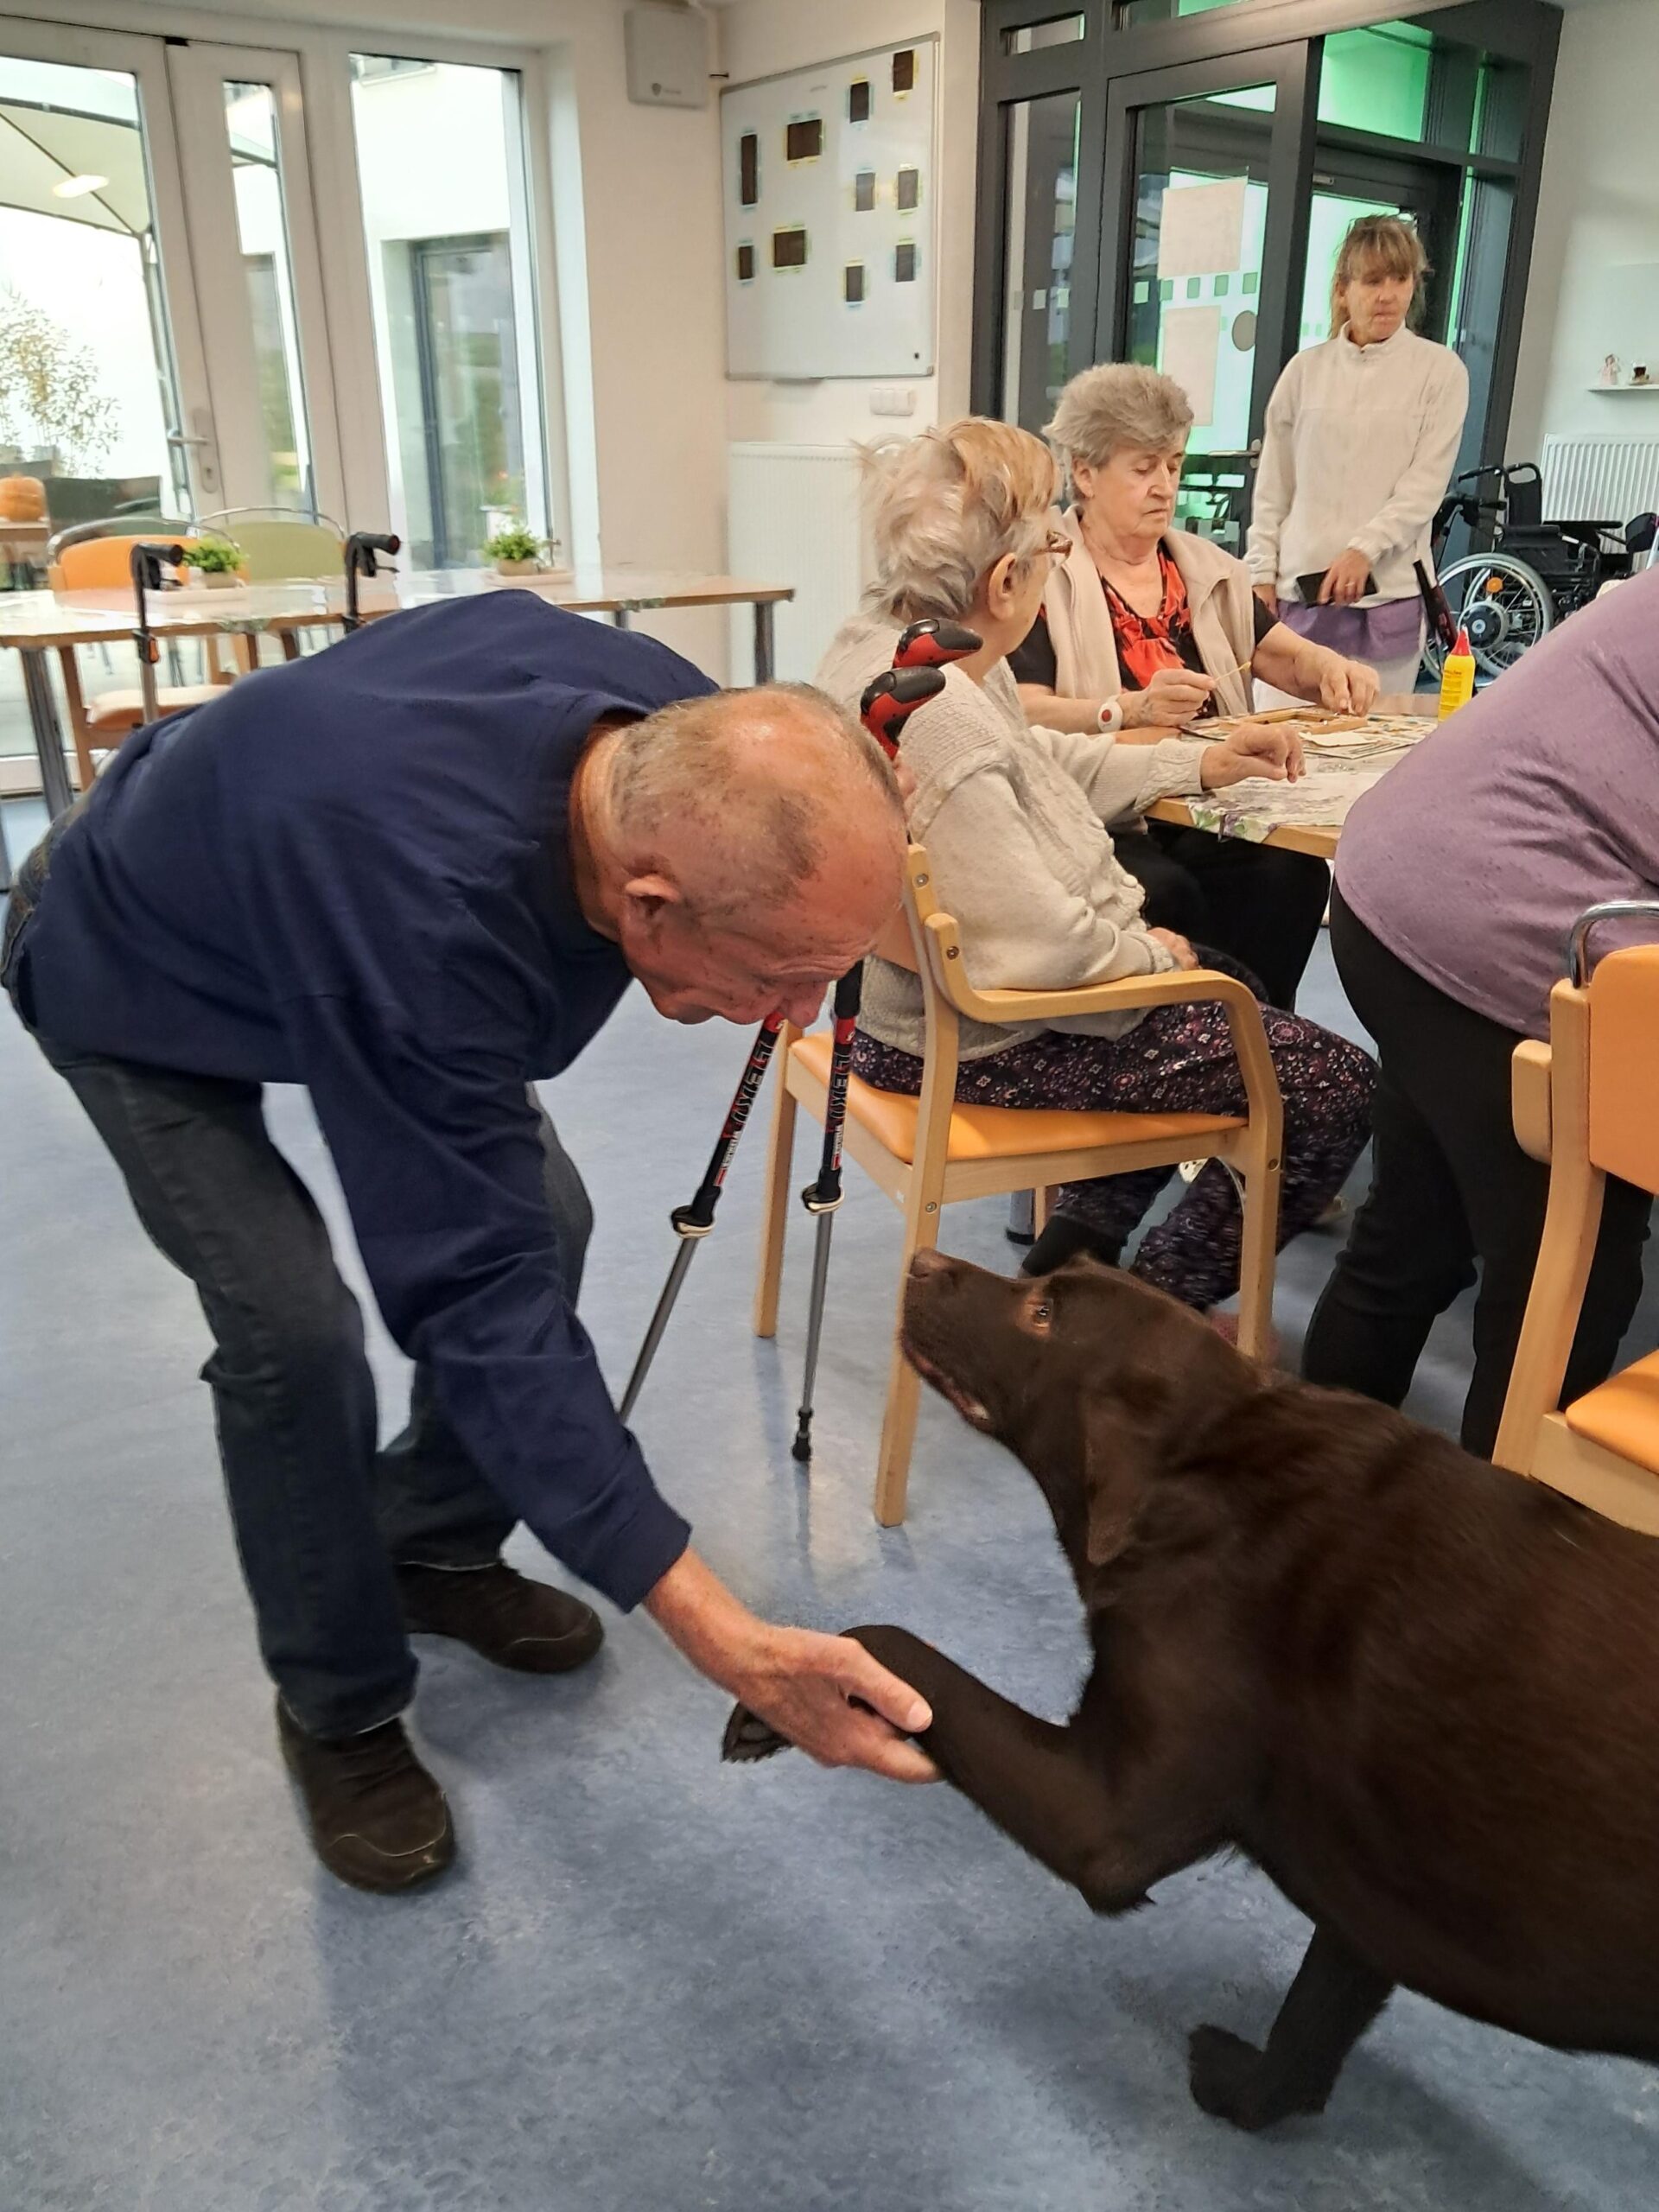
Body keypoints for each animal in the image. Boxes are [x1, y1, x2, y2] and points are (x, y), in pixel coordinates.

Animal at [724, 1249, 1659, 2131]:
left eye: (1043, 1314)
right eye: (1044, 1285)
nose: (920, 1261)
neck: (1207, 1471)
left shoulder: (1104, 1819)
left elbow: (898, 1648)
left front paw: (791, 1693)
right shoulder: (1375, 1882)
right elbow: (1314, 2017)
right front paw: (1254, 2096)